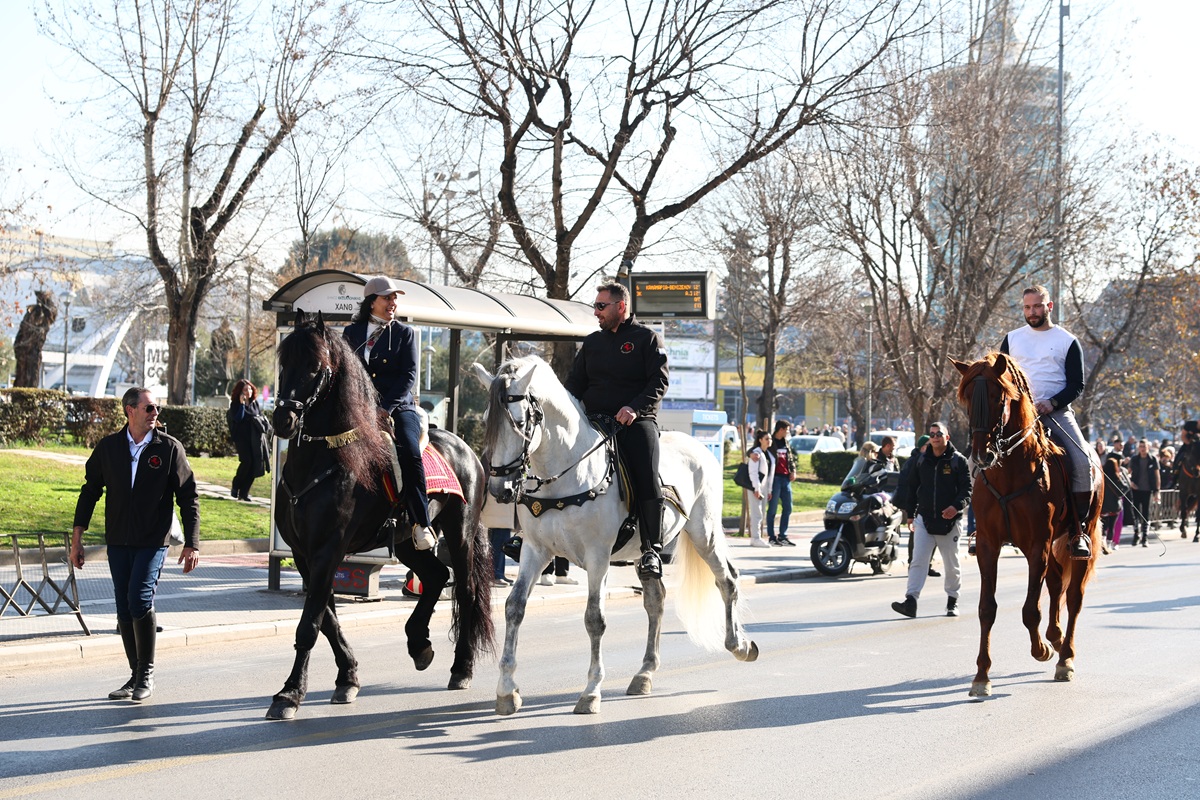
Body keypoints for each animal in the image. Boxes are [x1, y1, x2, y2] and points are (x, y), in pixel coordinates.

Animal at [268, 311, 492, 719]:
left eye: (315, 367)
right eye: (284, 362)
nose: (282, 420)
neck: (323, 460)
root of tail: (467, 448)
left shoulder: (328, 550)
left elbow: (310, 624)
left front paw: (289, 694)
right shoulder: (303, 554)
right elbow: (326, 618)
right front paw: (348, 678)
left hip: (460, 532)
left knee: (465, 590)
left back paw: (462, 667)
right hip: (406, 541)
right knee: (436, 577)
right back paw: (419, 643)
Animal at [470, 355, 758, 714]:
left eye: (521, 422)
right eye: (486, 420)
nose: (500, 489)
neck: (566, 472)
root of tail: (699, 447)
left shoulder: (598, 556)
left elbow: (595, 618)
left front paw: (591, 690)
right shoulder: (534, 551)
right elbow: (515, 607)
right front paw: (507, 689)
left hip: (704, 533)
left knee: (727, 580)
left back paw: (739, 645)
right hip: (645, 552)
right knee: (656, 600)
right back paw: (645, 672)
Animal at [950, 352, 1099, 695]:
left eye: (998, 397)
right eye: (967, 397)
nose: (981, 454)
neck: (1010, 471)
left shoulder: (1036, 546)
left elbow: (1031, 609)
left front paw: (1041, 649)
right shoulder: (989, 546)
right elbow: (986, 609)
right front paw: (981, 676)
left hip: (1081, 536)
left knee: (1074, 597)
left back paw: (1065, 656)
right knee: (1056, 583)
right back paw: (1056, 637)